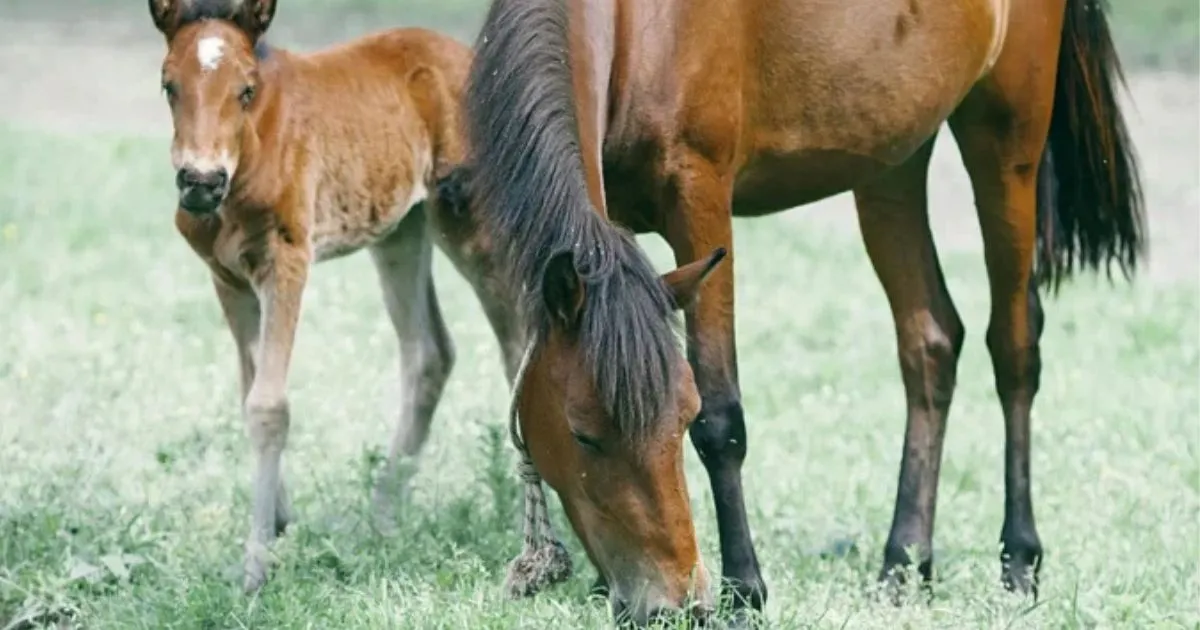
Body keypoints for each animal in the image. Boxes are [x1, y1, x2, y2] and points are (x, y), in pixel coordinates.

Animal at [451, 0, 1142, 624]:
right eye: (583, 434)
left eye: (681, 419)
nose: (671, 606)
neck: (636, 24)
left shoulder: (700, 196)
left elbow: (723, 418)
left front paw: (744, 592)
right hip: (890, 160)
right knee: (931, 342)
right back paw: (903, 564)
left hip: (1007, 142)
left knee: (1015, 347)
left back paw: (1019, 563)